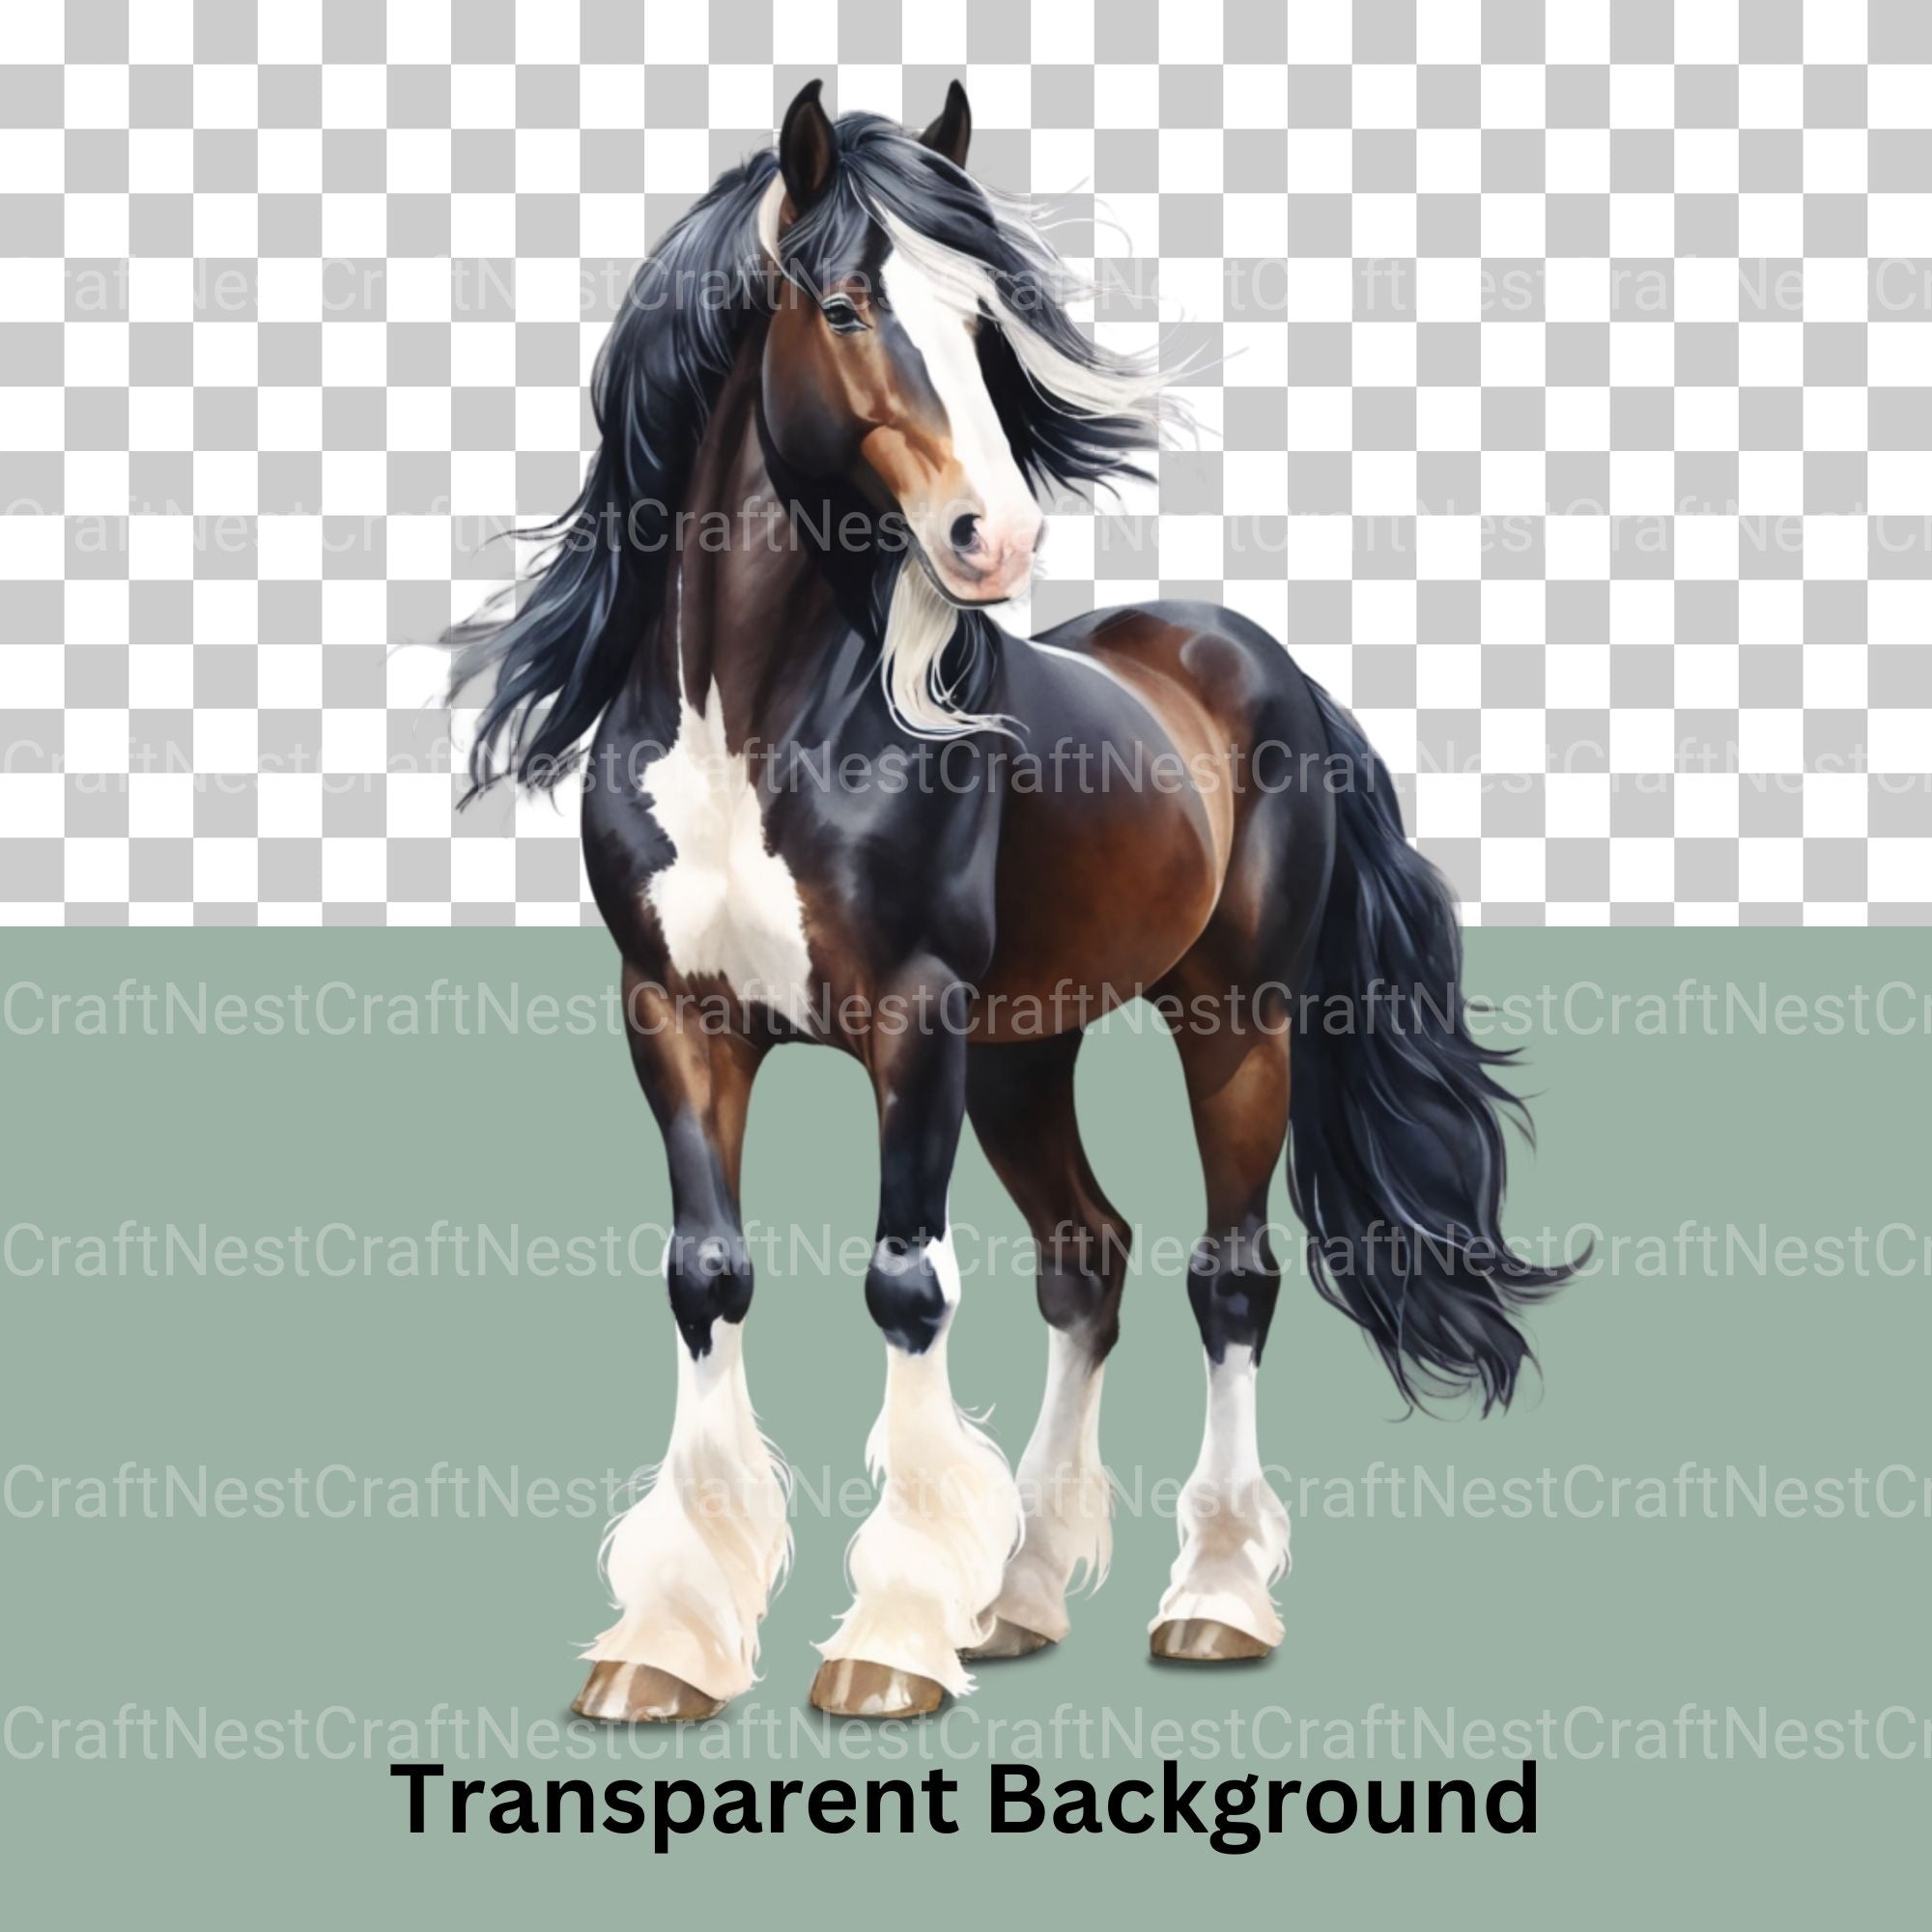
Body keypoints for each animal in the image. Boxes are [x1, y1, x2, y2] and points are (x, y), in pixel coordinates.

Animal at [446, 81, 1573, 1723]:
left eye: (986, 324)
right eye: (843, 305)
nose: (996, 538)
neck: (755, 728)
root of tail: (1260, 665)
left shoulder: (913, 1024)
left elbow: (907, 1285)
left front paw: (888, 1642)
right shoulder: (677, 1018)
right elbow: (707, 1277)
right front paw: (668, 1646)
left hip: (1236, 1025)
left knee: (1231, 1280)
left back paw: (1212, 1601)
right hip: (1027, 1054)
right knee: (1085, 1260)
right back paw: (1021, 1598)